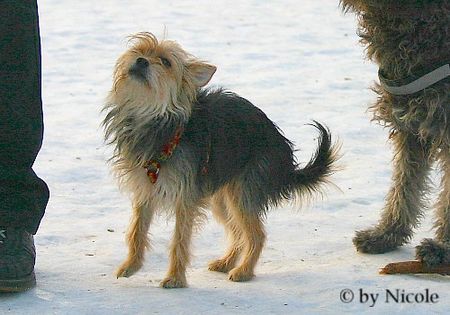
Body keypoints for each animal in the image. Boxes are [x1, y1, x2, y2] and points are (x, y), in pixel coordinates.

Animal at [103, 32, 338, 288]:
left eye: (165, 62)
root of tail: (282, 148)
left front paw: (175, 278)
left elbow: (179, 240)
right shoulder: (145, 190)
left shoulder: (185, 198)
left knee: (256, 234)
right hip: (221, 197)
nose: (141, 61)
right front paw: (131, 266)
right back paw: (226, 262)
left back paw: (244, 270)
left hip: (242, 192)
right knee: (237, 231)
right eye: (139, 50)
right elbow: (136, 231)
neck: (155, 121)